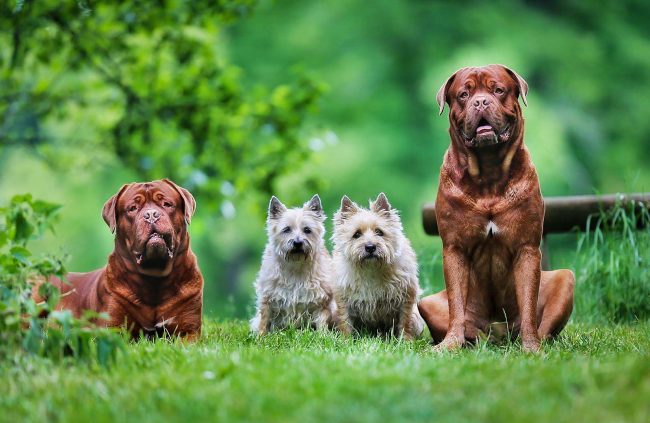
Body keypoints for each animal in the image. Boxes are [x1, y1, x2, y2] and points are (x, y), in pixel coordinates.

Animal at [38, 179, 200, 342]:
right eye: (132, 208)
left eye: (167, 204)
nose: (151, 215)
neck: (154, 279)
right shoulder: (111, 329)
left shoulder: (189, 331)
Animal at [416, 64, 572, 352]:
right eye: (464, 94)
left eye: (498, 90)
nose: (480, 101)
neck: (488, 173)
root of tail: (499, 333)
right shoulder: (454, 248)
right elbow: (456, 303)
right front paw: (449, 345)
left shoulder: (527, 247)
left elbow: (528, 301)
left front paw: (531, 348)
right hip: (428, 302)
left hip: (565, 279)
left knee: (544, 327)